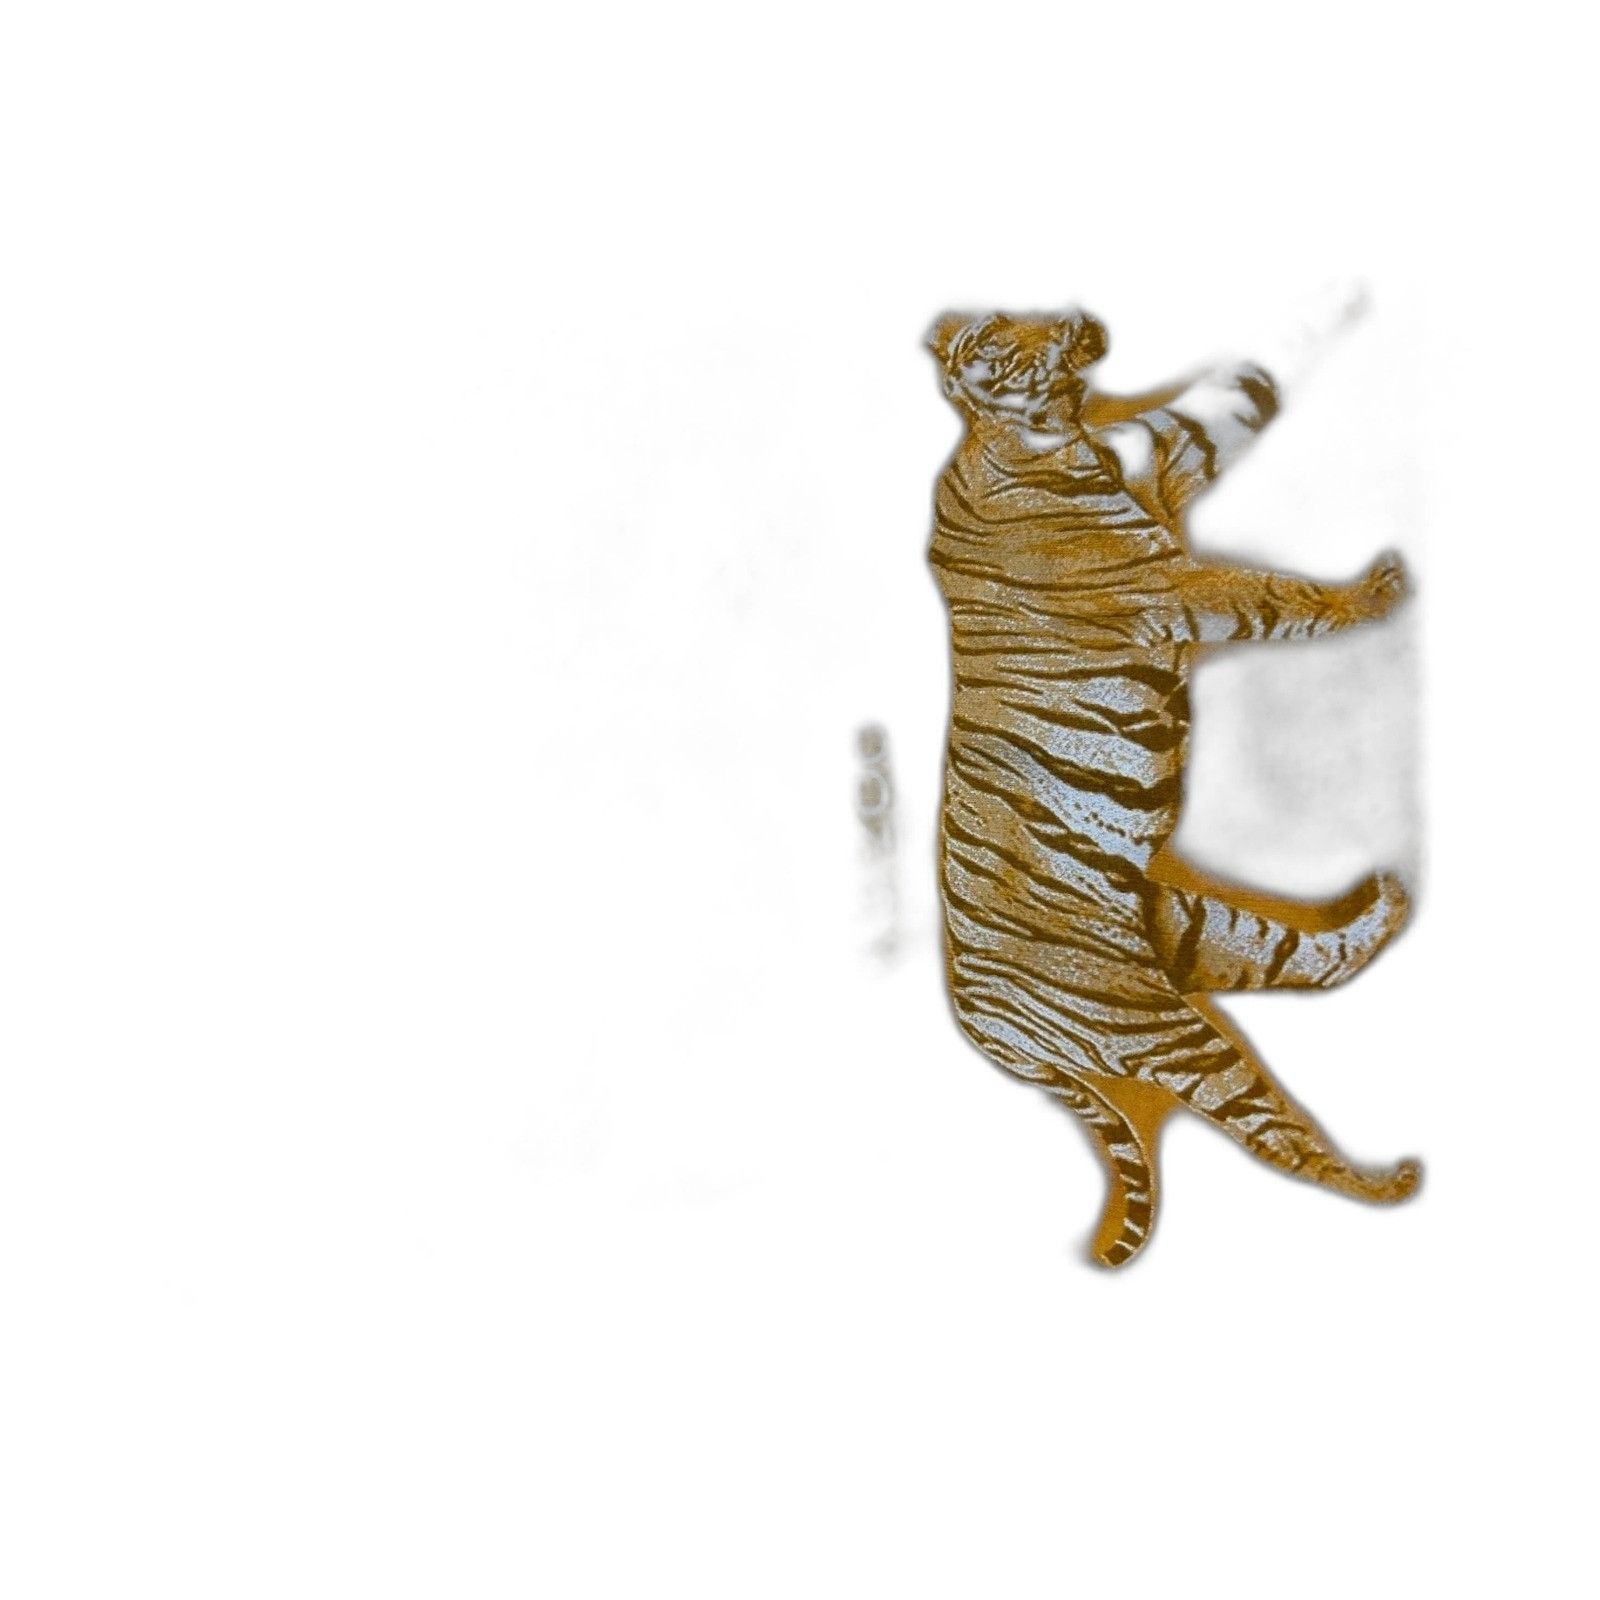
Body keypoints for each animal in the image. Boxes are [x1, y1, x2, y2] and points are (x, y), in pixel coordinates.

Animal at [925, 301, 1419, 1268]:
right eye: (999, 341)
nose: (1071, 322)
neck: (1055, 436)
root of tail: (984, 1034)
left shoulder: (1163, 462)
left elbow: (1211, 412)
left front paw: (1286, 348)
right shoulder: (1175, 586)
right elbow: (1277, 594)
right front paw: (1374, 593)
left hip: (1194, 926)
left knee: (1312, 961)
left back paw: (1388, 898)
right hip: (1156, 1023)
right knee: (1273, 1132)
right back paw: (1389, 1187)